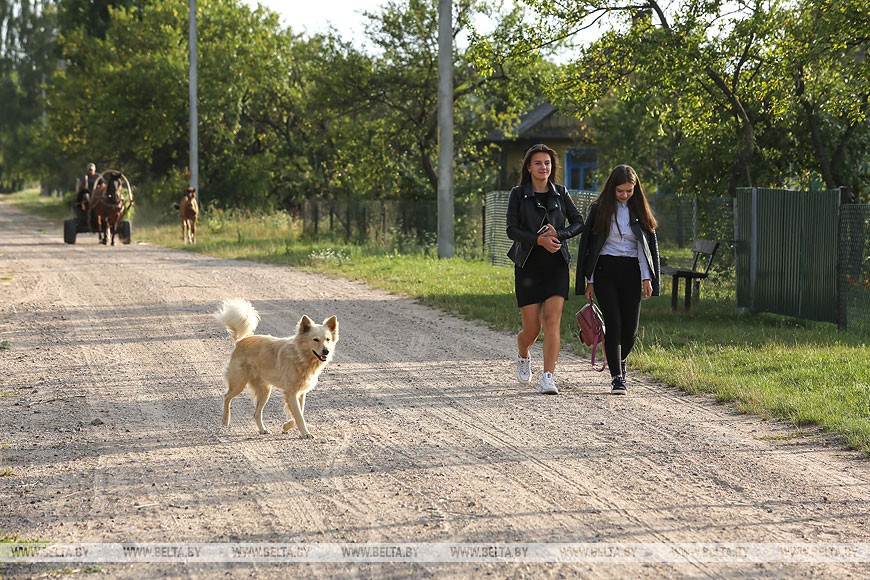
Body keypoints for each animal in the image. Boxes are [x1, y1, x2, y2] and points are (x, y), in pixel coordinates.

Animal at [216, 300, 338, 440]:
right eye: (315, 339)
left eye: (328, 339)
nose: (326, 351)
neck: (300, 356)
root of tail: (241, 341)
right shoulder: (291, 393)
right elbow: (299, 416)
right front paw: (305, 433)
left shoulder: (300, 393)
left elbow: (298, 414)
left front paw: (286, 427)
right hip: (239, 383)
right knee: (227, 397)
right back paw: (225, 420)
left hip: (265, 391)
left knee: (256, 413)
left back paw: (262, 429)